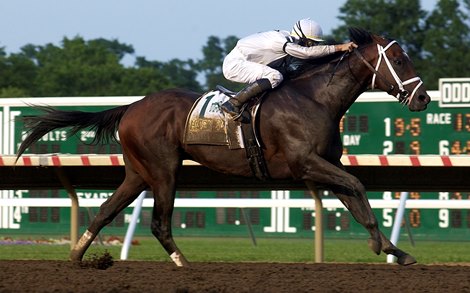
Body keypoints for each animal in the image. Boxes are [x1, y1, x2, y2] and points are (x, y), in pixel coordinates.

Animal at [17, 27, 430, 264]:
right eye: (398, 59)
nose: (424, 98)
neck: (314, 99)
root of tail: (131, 107)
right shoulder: (305, 163)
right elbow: (358, 186)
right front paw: (382, 247)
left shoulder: (327, 165)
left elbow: (357, 202)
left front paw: (395, 250)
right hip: (164, 170)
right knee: (159, 223)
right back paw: (186, 266)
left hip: (137, 172)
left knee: (105, 211)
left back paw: (76, 256)